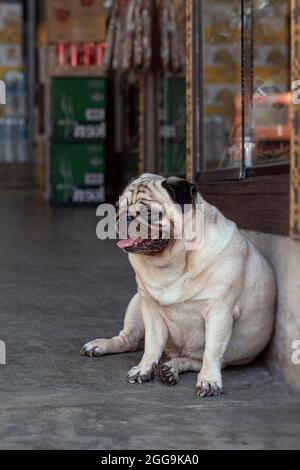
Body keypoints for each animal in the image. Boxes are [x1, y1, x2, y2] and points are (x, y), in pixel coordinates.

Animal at [81, 174, 276, 394]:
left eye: (149, 213)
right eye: (117, 206)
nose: (125, 217)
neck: (173, 261)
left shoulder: (219, 313)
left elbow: (212, 352)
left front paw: (209, 380)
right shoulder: (150, 310)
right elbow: (151, 346)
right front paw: (143, 368)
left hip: (230, 355)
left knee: (195, 360)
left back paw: (172, 369)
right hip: (136, 304)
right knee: (128, 341)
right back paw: (103, 346)